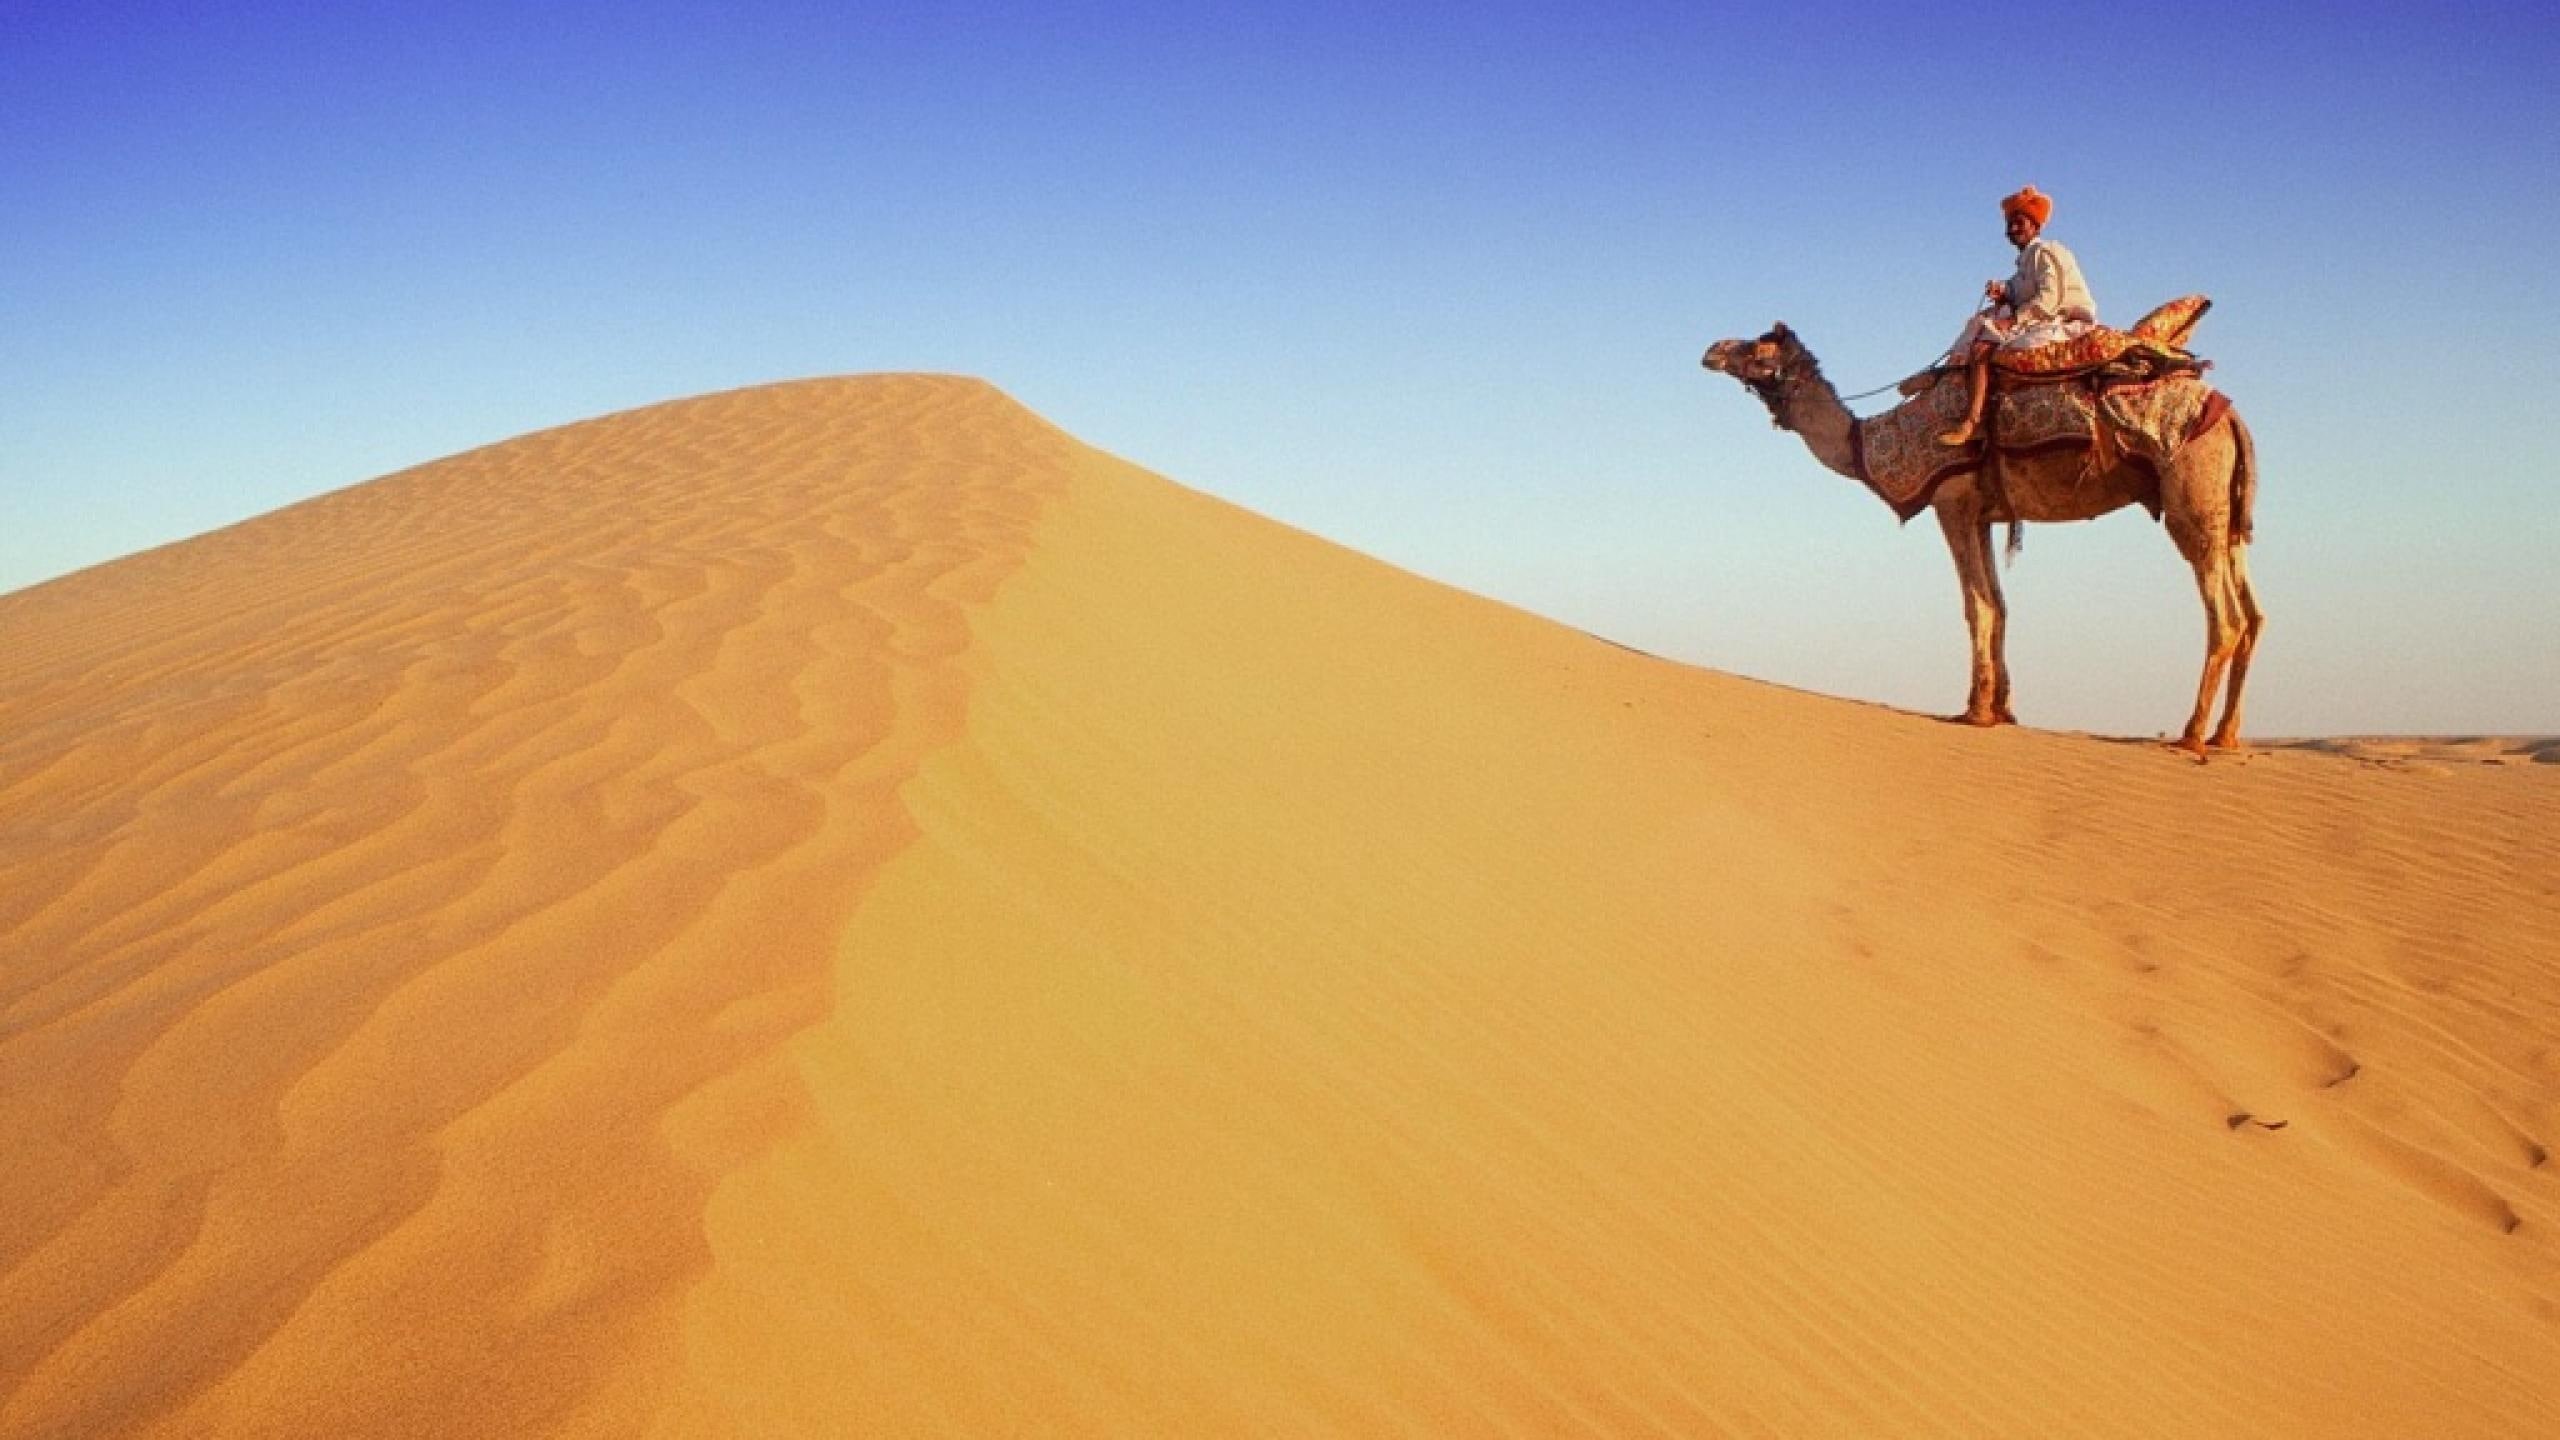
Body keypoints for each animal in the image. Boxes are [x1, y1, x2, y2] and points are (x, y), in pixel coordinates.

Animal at [1701, 324, 2263, 754]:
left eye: (1758, 346)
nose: (1712, 349)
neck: (1870, 442)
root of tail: (2234, 419)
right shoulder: (1986, 514)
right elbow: (2000, 604)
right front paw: (2003, 710)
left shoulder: (1951, 503)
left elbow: (1977, 606)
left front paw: (1973, 711)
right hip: (2228, 516)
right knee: (2254, 615)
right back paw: (2226, 737)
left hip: (2191, 497)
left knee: (2225, 618)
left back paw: (2191, 736)